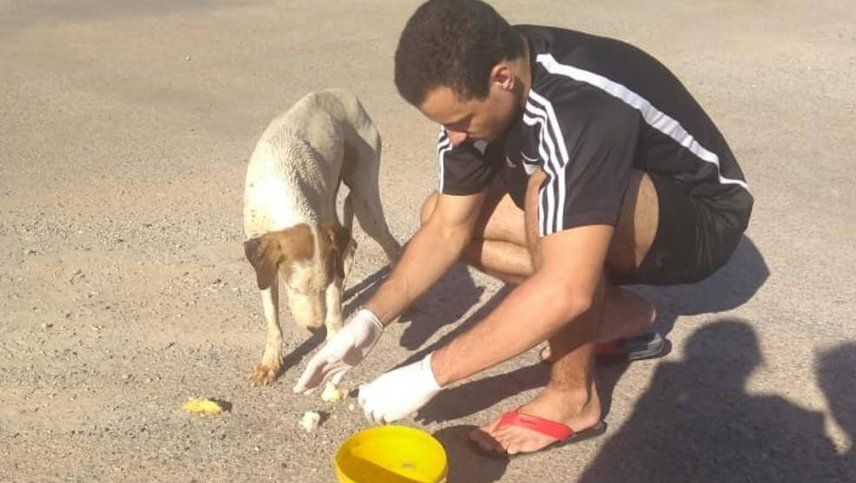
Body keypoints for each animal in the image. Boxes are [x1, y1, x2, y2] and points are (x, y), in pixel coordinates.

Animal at [242, 89, 401, 386]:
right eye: (294, 289)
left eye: (321, 285)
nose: (314, 326)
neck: (282, 188)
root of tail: (342, 93)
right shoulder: (263, 266)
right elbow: (273, 321)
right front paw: (270, 362)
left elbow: (335, 314)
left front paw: (334, 346)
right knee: (352, 245)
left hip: (365, 200)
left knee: (391, 245)